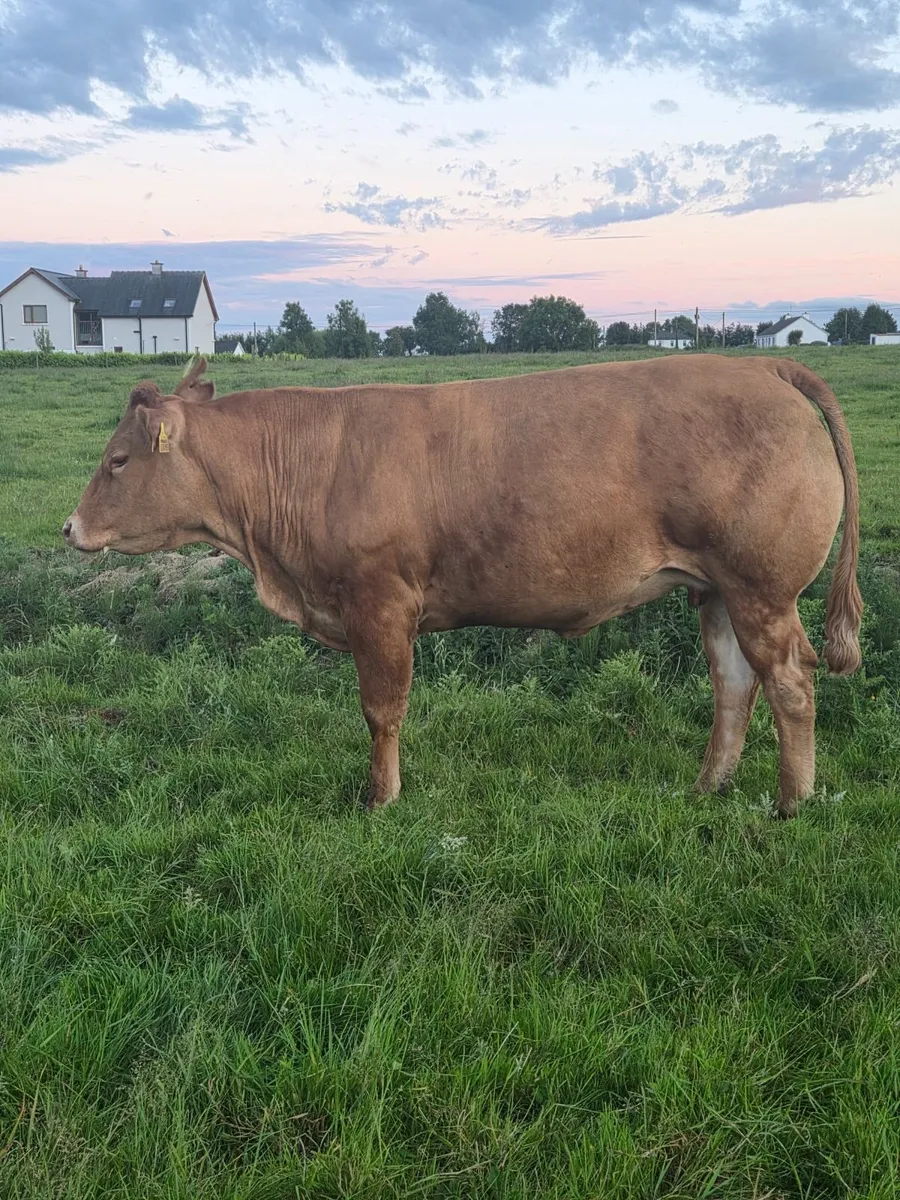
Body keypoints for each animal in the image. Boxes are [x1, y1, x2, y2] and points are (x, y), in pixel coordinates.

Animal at [63, 354, 862, 818]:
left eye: (119, 459)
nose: (69, 527)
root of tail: (761, 365)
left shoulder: (380, 602)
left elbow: (382, 709)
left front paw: (380, 800)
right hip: (717, 589)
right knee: (734, 683)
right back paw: (707, 788)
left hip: (762, 587)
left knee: (790, 681)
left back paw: (793, 803)